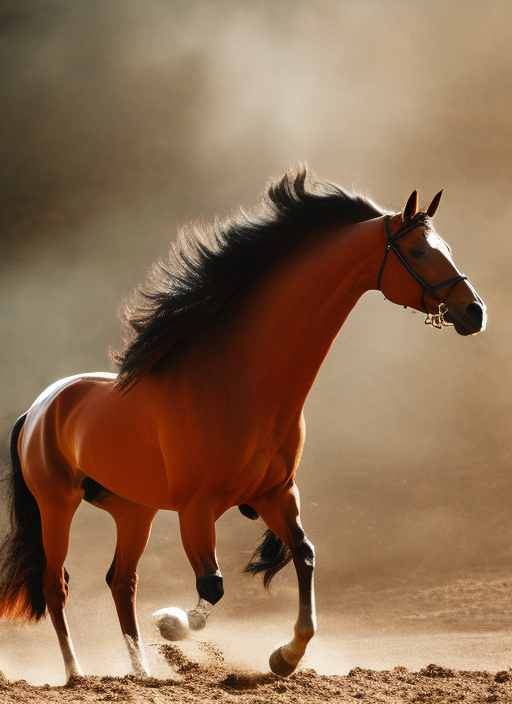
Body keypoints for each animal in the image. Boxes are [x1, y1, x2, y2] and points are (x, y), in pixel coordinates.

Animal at [0, 168, 488, 680]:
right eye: (417, 251)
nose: (475, 311)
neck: (243, 384)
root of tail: (40, 408)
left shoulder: (276, 494)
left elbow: (305, 556)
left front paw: (285, 656)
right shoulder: (197, 510)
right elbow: (210, 588)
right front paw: (171, 624)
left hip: (134, 511)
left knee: (122, 581)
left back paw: (141, 673)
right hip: (58, 505)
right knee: (56, 586)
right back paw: (77, 673)